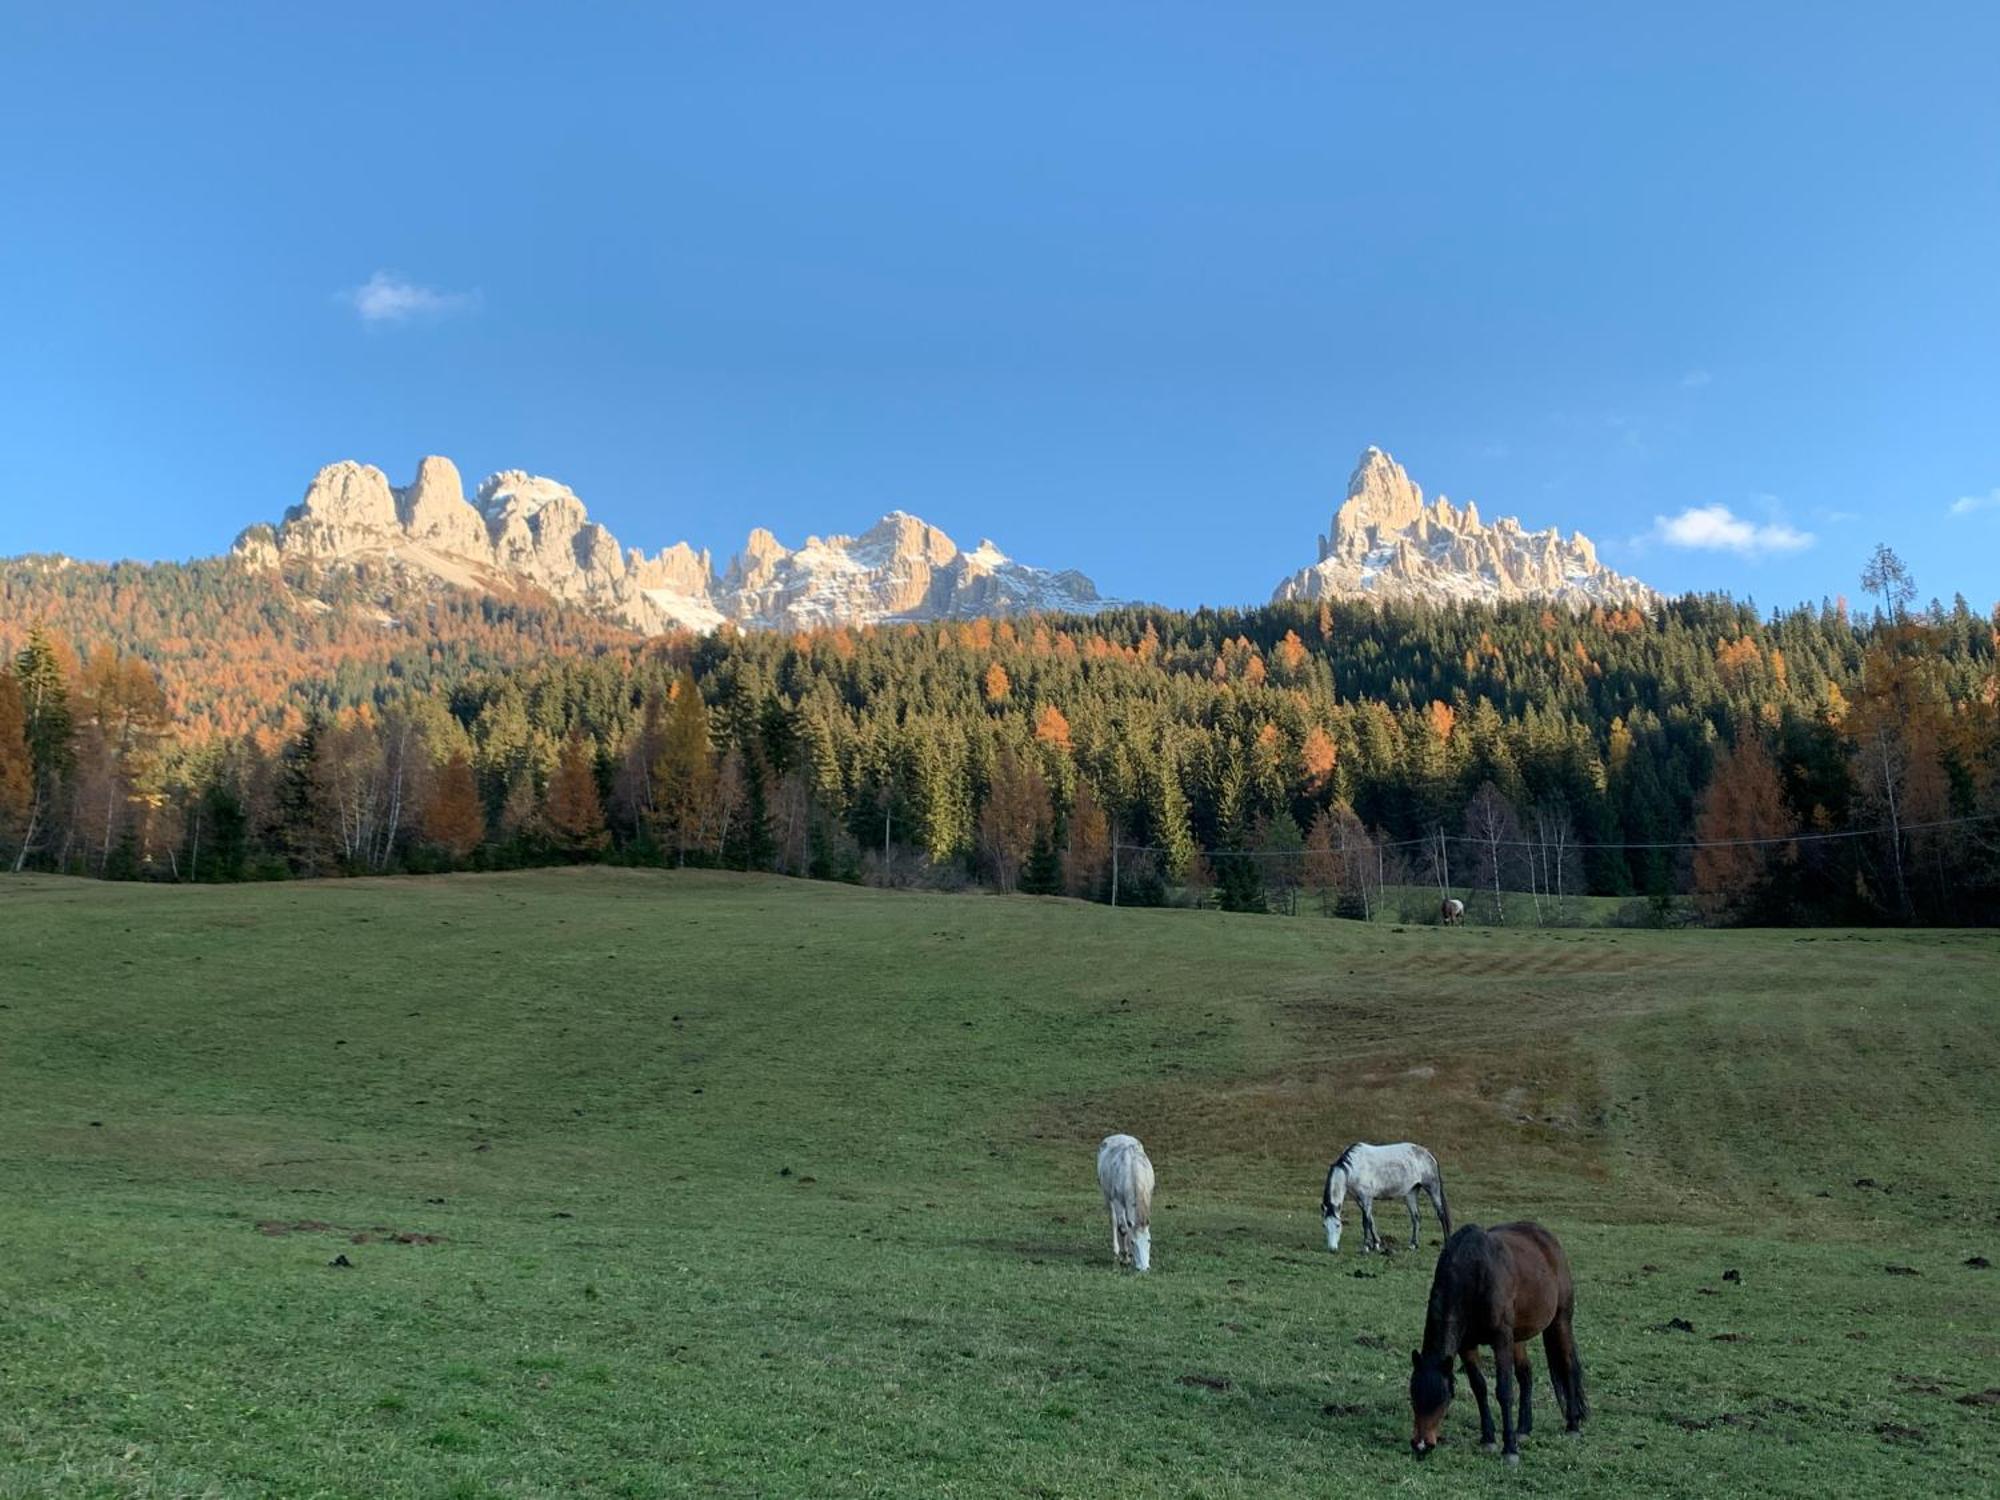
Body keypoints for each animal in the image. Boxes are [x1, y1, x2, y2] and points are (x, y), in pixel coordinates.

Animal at [1096, 1136, 1160, 1272]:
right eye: (1133, 1242)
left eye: (1149, 1240)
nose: (1144, 1269)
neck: (1132, 1172)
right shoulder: (1117, 1201)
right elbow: (1123, 1228)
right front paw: (1125, 1258)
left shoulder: (1148, 1197)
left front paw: (1129, 1256)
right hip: (1107, 1196)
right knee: (1114, 1222)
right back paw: (1116, 1252)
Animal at [1320, 1152, 1448, 1256]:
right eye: (1324, 1226)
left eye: (1338, 1225)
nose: (1332, 1249)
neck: (1353, 1167)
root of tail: (1429, 1155)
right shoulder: (1360, 1200)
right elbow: (1370, 1221)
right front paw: (1376, 1244)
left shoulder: (1366, 1197)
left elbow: (1365, 1222)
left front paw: (1366, 1247)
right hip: (1411, 1192)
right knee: (1416, 1217)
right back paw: (1413, 1245)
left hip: (1432, 1188)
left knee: (1441, 1214)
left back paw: (1446, 1241)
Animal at [1416, 1224, 1584, 1464]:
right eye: (1413, 1396)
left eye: (1443, 1400)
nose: (1421, 1445)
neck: (1473, 1270)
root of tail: (1547, 1238)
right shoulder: (1467, 1345)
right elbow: (1479, 1386)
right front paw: (1488, 1438)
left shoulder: (1501, 1339)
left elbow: (1504, 1391)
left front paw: (1510, 1449)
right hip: (1518, 1337)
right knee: (1525, 1374)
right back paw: (1523, 1428)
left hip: (1560, 1321)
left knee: (1568, 1367)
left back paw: (1573, 1425)